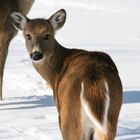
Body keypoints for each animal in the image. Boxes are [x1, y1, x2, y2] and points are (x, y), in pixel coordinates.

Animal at [10, 9, 122, 139]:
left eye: (47, 35)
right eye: (28, 35)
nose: (36, 55)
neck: (54, 75)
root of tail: (93, 76)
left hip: (69, 114)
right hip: (112, 115)